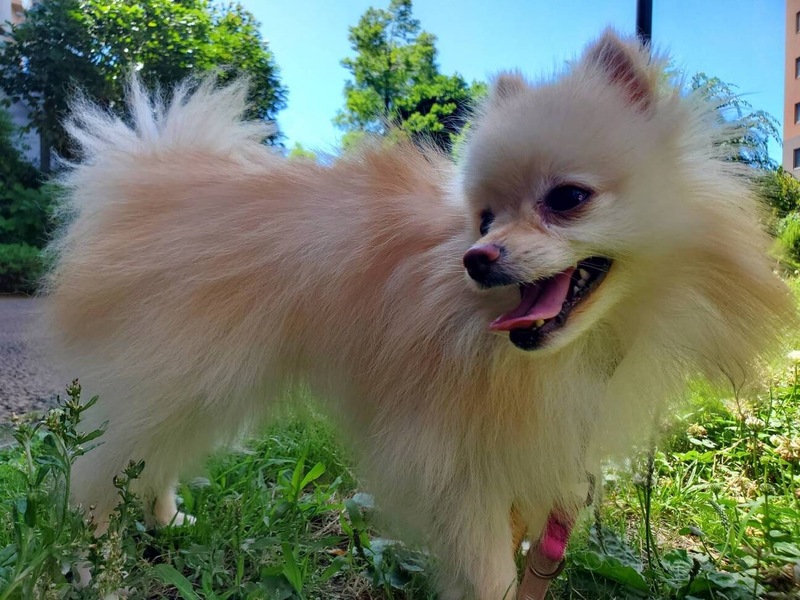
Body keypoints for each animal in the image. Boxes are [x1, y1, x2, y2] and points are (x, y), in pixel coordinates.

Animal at [42, 30, 794, 598]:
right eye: (484, 218)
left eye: (567, 198)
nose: (478, 258)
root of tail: (145, 174)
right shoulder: (453, 461)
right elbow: (490, 572)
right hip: (174, 371)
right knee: (94, 477)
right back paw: (98, 569)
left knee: (150, 457)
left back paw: (167, 519)